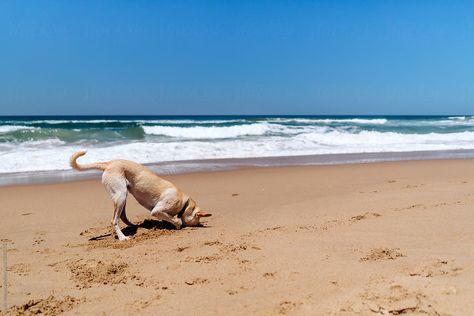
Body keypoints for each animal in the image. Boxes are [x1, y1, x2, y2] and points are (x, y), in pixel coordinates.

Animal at [70, 151, 211, 239]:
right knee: (114, 220)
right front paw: (177, 225)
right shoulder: (157, 210)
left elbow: (169, 218)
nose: (199, 225)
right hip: (121, 195)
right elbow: (175, 220)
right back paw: (123, 238)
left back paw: (135, 226)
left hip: (123, 196)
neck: (184, 202)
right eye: (198, 220)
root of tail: (109, 163)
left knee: (122, 216)